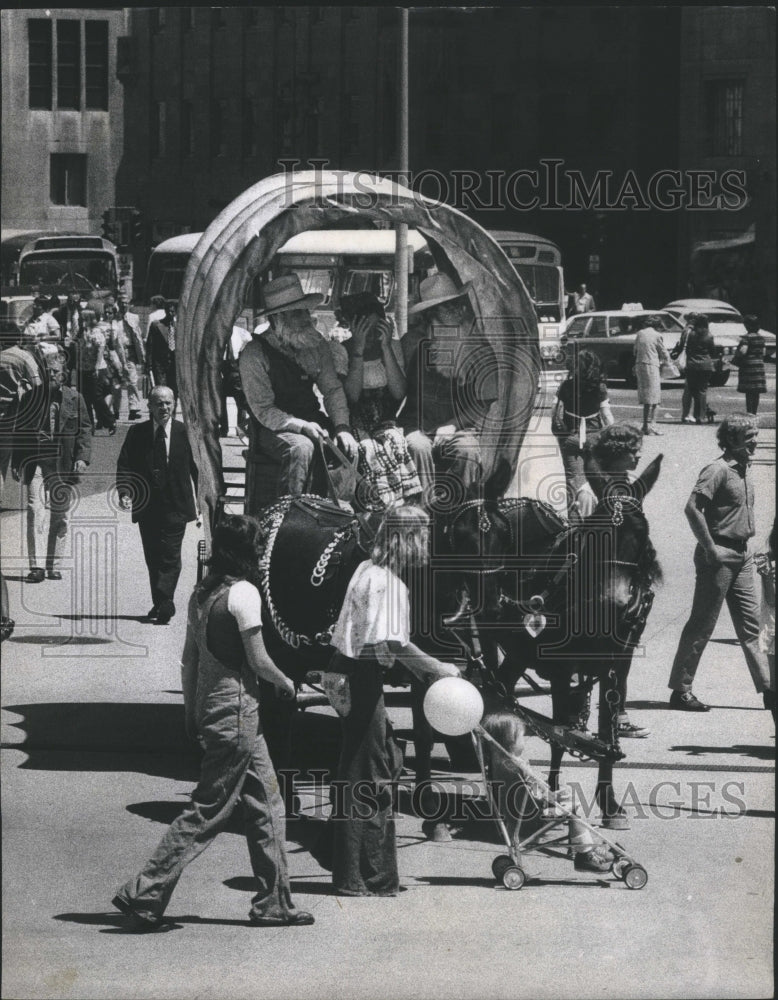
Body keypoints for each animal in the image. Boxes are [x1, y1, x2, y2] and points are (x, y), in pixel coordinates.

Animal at [442, 456, 660, 828]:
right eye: (595, 534)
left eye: (641, 534)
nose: (615, 602)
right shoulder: (559, 667)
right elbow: (559, 734)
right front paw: (553, 796)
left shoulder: (619, 664)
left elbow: (607, 732)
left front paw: (609, 803)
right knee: (497, 692)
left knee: (502, 688)